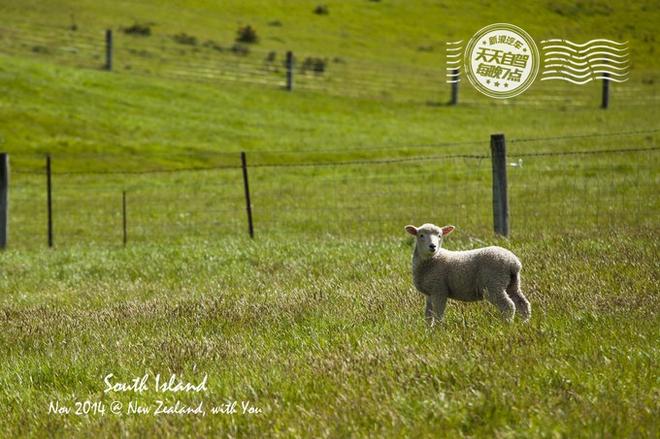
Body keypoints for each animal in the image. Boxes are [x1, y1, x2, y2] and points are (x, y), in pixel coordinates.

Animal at [402, 223, 532, 324]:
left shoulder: (439, 290)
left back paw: (507, 324)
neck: (433, 259)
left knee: (508, 306)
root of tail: (513, 262)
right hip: (512, 283)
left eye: (440, 236)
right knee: (523, 304)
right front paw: (428, 331)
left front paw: (438, 330)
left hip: (494, 283)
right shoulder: (430, 293)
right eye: (421, 235)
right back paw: (525, 322)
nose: (432, 246)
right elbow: (428, 315)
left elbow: (438, 314)